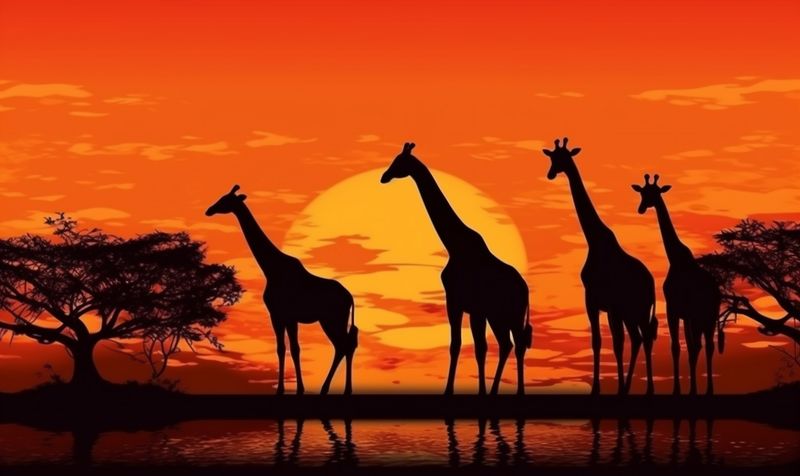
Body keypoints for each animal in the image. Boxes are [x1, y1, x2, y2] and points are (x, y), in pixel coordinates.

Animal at [206, 185, 358, 395]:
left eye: (225, 200)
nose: (209, 210)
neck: (271, 269)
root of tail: (350, 298)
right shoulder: (280, 315)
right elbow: (283, 348)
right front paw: (284, 389)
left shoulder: (284, 315)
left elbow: (292, 349)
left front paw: (296, 389)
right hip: (333, 320)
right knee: (345, 345)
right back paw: (340, 389)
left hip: (332, 319)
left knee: (344, 345)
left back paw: (331, 389)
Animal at [381, 143, 532, 395]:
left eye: (399, 162)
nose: (384, 176)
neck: (454, 244)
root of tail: (526, 290)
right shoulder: (468, 306)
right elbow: (466, 345)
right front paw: (473, 391)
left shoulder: (461, 302)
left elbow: (470, 347)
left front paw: (459, 391)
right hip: (499, 315)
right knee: (507, 344)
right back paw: (496, 391)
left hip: (512, 313)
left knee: (518, 344)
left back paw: (518, 391)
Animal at [542, 137, 657, 395]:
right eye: (552, 157)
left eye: (563, 158)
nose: (550, 174)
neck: (594, 241)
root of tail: (652, 283)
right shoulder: (597, 302)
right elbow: (598, 342)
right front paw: (600, 387)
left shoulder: (605, 303)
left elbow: (613, 343)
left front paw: (608, 388)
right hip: (630, 312)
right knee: (638, 338)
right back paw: (628, 387)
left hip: (639, 309)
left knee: (644, 338)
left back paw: (646, 389)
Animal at [632, 173, 723, 395]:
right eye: (642, 192)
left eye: (654, 193)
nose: (641, 208)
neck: (675, 259)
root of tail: (717, 292)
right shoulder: (679, 311)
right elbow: (682, 347)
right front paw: (683, 389)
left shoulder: (680, 310)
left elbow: (683, 347)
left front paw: (683, 390)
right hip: (703, 318)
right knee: (702, 345)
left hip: (706, 316)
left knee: (705, 345)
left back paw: (704, 390)